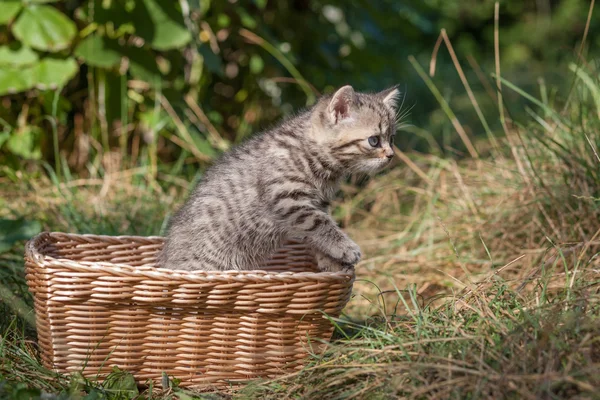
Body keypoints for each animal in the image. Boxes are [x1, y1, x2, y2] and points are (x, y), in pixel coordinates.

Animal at [159, 84, 400, 272]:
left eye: (392, 138)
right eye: (374, 141)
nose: (391, 155)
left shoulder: (317, 204)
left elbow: (317, 233)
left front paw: (331, 261)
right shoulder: (289, 199)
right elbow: (320, 224)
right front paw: (346, 248)